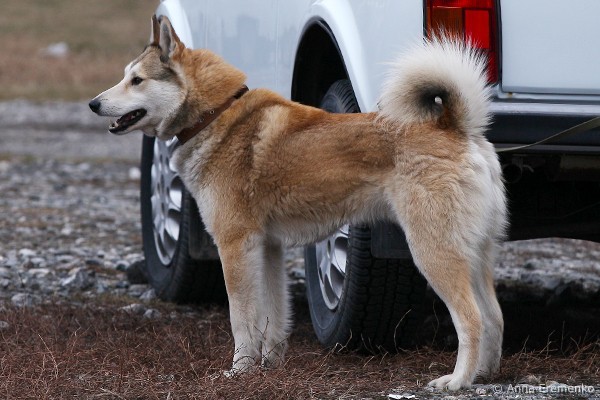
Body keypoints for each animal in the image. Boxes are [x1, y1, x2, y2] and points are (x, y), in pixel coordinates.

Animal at [90, 15, 507, 390]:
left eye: (136, 80)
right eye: (125, 77)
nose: (94, 103)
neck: (216, 114)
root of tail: (457, 129)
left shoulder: (235, 246)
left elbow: (241, 319)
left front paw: (239, 371)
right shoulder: (268, 248)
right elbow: (273, 318)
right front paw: (269, 367)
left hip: (432, 251)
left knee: (472, 319)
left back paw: (457, 380)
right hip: (475, 253)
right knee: (495, 316)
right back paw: (485, 374)